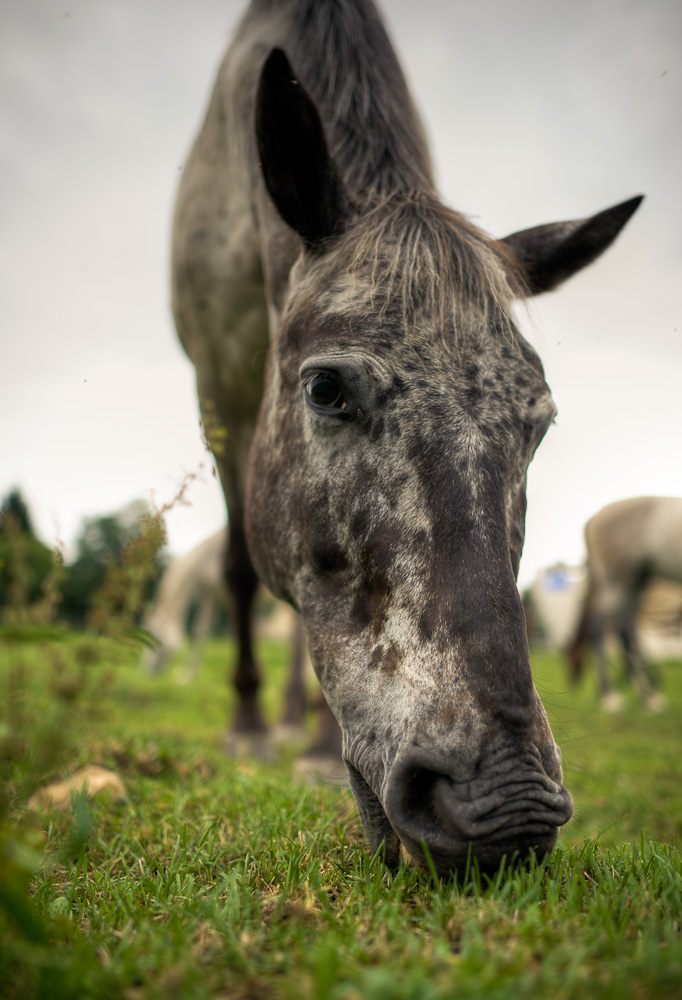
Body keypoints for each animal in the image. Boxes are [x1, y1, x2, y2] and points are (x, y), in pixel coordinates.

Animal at [170, 0, 636, 876]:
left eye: (540, 421)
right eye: (325, 388)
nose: (507, 806)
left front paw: (318, 745)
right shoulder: (218, 389)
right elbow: (243, 570)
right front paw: (248, 727)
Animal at [564, 496, 680, 708]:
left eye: (569, 658)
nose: (572, 684)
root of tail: (594, 519)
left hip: (632, 585)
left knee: (623, 632)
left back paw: (644, 694)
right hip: (620, 583)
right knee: (605, 630)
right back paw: (614, 695)